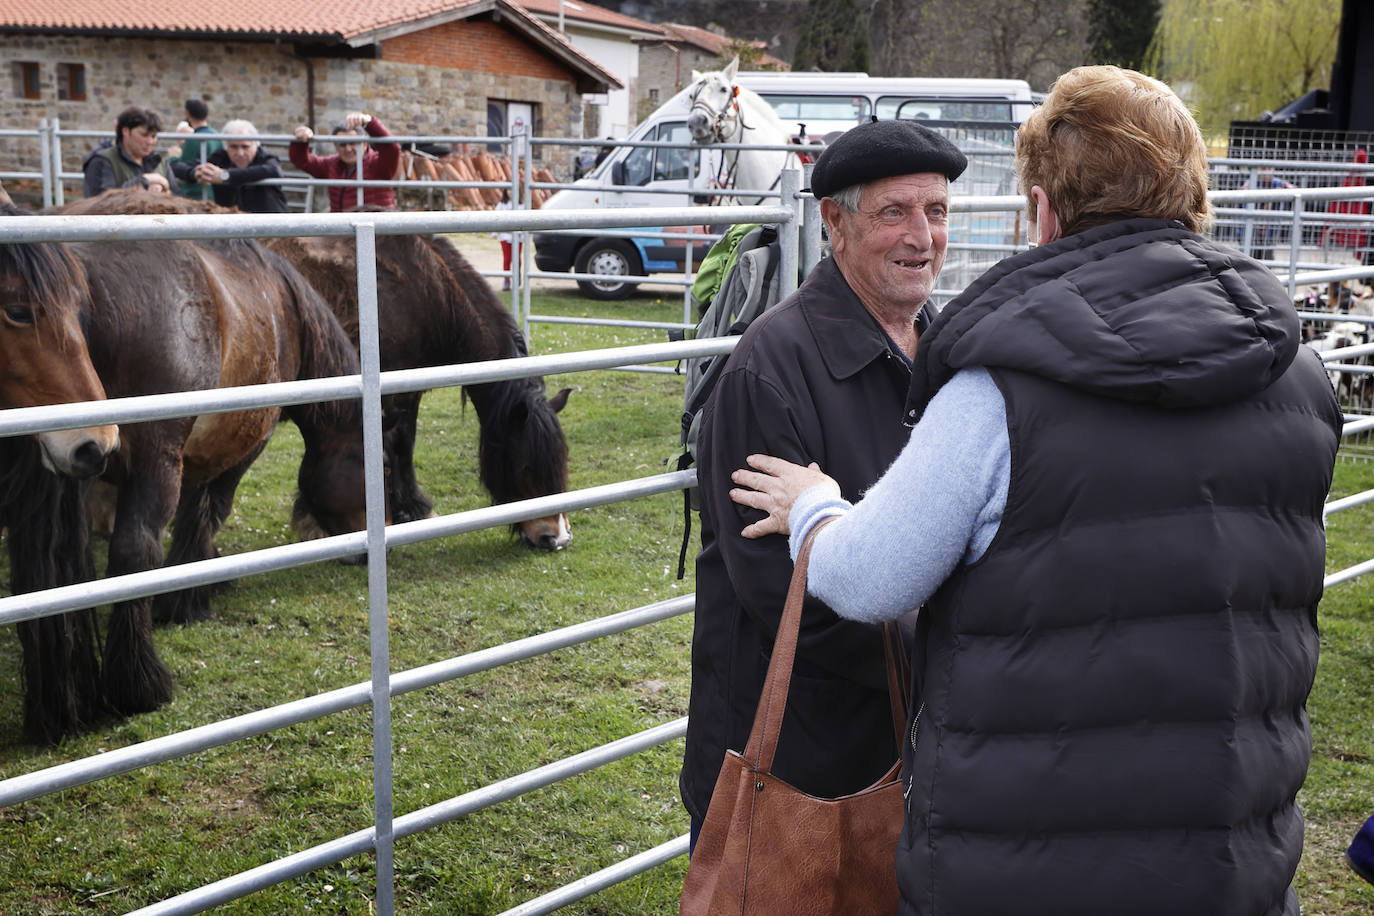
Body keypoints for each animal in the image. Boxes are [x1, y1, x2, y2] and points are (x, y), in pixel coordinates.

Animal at [2, 193, 373, 747]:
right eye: (379, 465)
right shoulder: (241, 446)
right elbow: (205, 512)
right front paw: (190, 596)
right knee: (135, 551)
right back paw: (138, 684)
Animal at [267, 225, 574, 549]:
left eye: (562, 462)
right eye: (525, 467)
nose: (556, 537)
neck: (427, 291)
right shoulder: (395, 395)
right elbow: (402, 445)